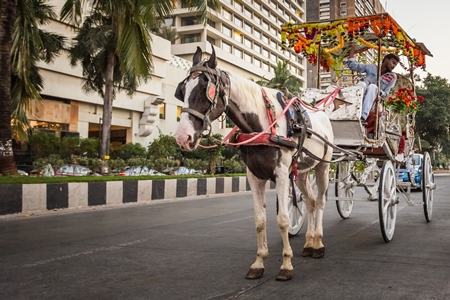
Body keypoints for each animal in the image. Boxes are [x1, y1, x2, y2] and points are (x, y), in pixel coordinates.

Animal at [174, 45, 336, 280]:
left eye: (205, 88)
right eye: (182, 90)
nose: (182, 137)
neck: (262, 124)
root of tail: (323, 115)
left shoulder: (281, 174)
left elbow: (283, 219)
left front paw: (286, 265)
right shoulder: (254, 176)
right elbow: (259, 221)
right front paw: (259, 262)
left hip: (323, 165)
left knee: (321, 201)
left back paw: (319, 244)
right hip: (302, 171)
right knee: (311, 201)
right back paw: (309, 243)